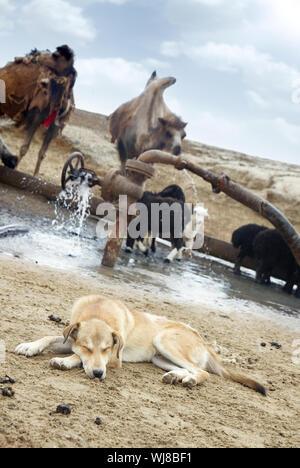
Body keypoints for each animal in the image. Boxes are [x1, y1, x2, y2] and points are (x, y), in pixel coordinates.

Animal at [0, 45, 76, 176]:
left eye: (55, 55)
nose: (35, 54)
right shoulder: (36, 116)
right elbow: (24, 147)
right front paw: (15, 168)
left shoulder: (54, 127)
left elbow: (42, 153)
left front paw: (35, 175)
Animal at [15, 294, 266, 394]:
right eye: (88, 347)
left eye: (107, 349)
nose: (98, 374)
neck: (98, 312)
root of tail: (203, 341)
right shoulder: (72, 339)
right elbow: (51, 337)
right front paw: (30, 346)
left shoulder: (114, 359)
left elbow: (76, 357)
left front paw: (64, 361)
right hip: (159, 357)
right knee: (190, 369)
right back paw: (175, 376)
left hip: (163, 340)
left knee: (203, 373)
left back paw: (190, 380)